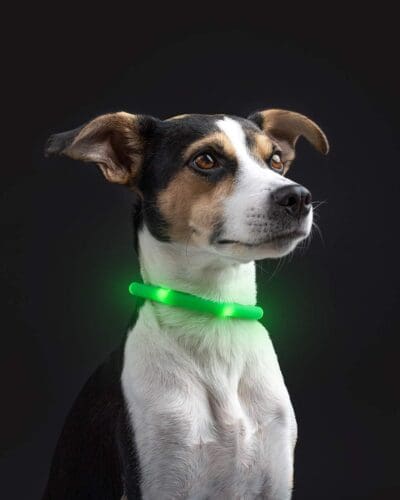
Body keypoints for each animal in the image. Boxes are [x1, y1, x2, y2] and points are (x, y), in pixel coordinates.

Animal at [43, 109, 329, 500]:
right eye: (205, 160)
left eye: (275, 160)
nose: (297, 196)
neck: (216, 316)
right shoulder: (161, 477)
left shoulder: (275, 476)